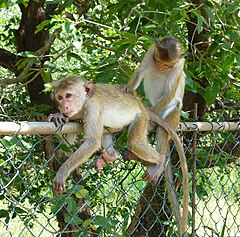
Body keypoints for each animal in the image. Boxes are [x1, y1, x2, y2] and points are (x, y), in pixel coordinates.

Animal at [47, 76, 188, 235]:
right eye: (60, 97)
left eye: (69, 95)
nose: (64, 106)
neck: (84, 103)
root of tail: (140, 105)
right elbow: (67, 140)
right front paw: (61, 116)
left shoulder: (93, 107)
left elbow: (92, 142)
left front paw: (62, 172)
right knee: (105, 129)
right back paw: (111, 155)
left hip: (141, 118)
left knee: (134, 142)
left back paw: (159, 162)